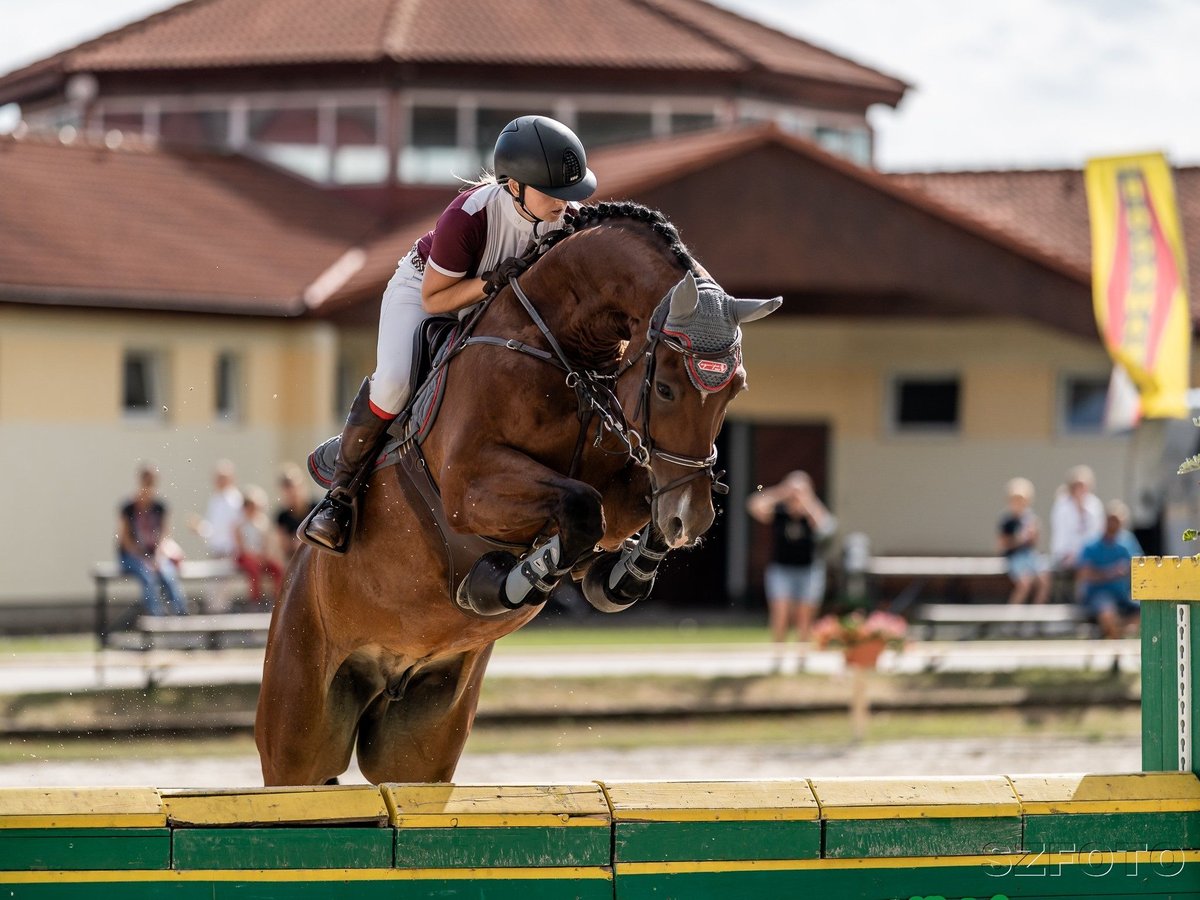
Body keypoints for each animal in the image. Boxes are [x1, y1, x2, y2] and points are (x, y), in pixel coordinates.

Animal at [255, 200, 777, 787]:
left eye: (736, 388)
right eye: (665, 387)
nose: (693, 518)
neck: (561, 350)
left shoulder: (628, 474)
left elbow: (620, 509)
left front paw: (620, 575)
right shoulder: (471, 485)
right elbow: (580, 508)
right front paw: (506, 581)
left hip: (420, 743)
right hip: (299, 727)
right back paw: (334, 520)